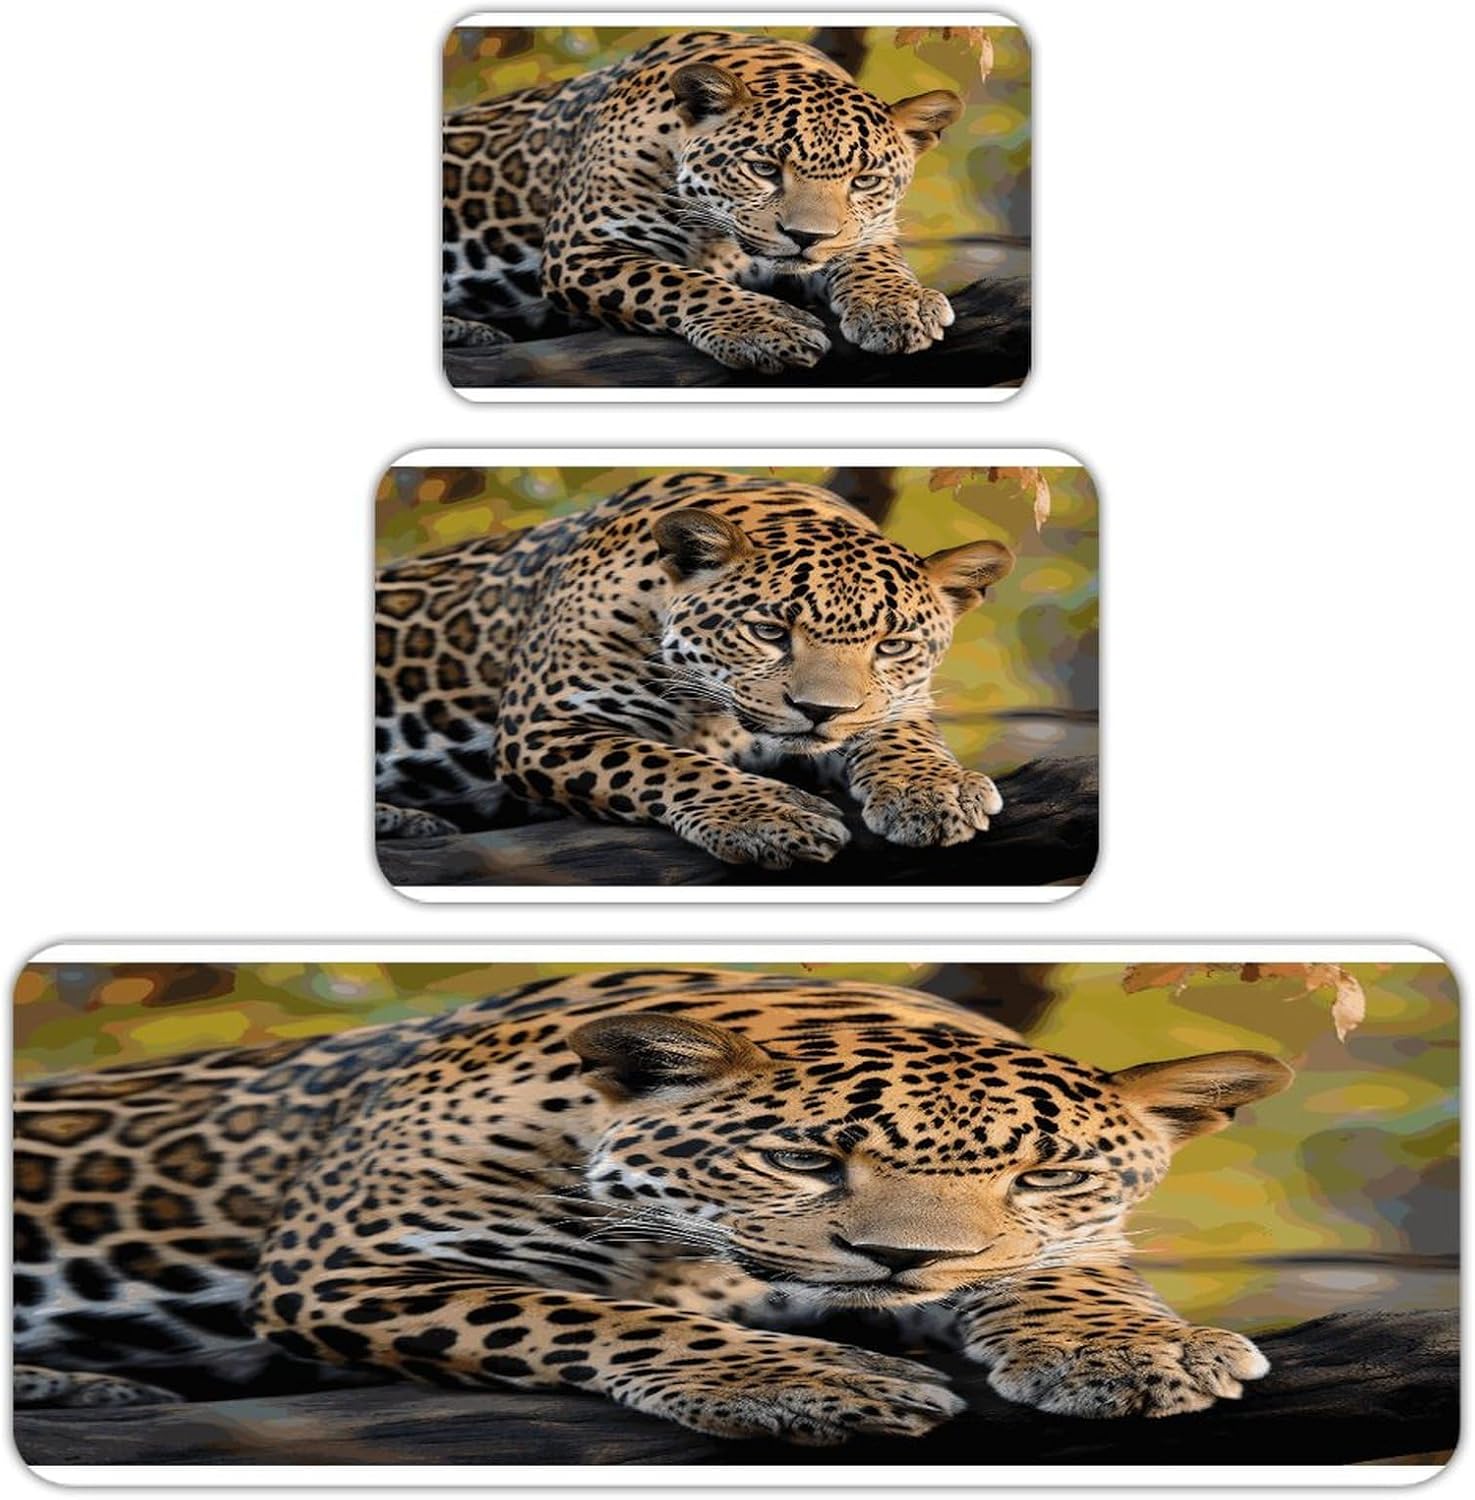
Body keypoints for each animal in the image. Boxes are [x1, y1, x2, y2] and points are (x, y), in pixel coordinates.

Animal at [13, 968, 1294, 1441]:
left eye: (1043, 1173)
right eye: (804, 1157)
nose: (905, 1265)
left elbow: (1062, 1273)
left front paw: (1128, 1352)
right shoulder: (352, 1263)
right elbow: (594, 1315)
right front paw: (803, 1384)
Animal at [375, 471, 1016, 868]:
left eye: (893, 645)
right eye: (769, 632)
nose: (820, 712)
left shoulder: (892, 704)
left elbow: (900, 732)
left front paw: (932, 791)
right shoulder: (543, 726)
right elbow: (662, 762)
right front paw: (768, 816)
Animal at [443, 29, 966, 371]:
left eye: (864, 180)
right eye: (764, 169)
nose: (806, 238)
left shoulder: (863, 233)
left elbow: (873, 259)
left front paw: (899, 306)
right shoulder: (582, 250)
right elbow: (676, 281)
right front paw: (763, 327)